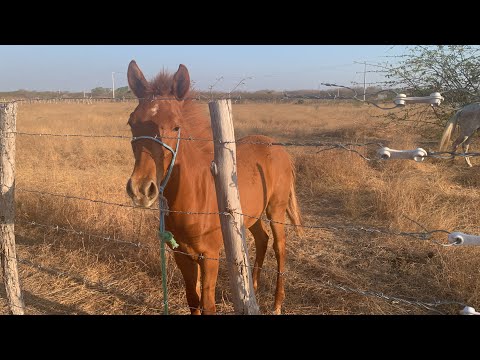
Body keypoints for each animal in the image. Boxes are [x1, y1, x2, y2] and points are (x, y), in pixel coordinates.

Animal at [125, 60, 302, 314]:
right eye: (131, 123)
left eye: (176, 127)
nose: (141, 189)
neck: (195, 197)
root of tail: (278, 147)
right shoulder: (181, 254)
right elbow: (193, 300)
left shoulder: (209, 256)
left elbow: (207, 304)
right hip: (251, 215)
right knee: (262, 239)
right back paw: (253, 290)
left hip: (275, 210)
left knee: (280, 247)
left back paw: (277, 304)